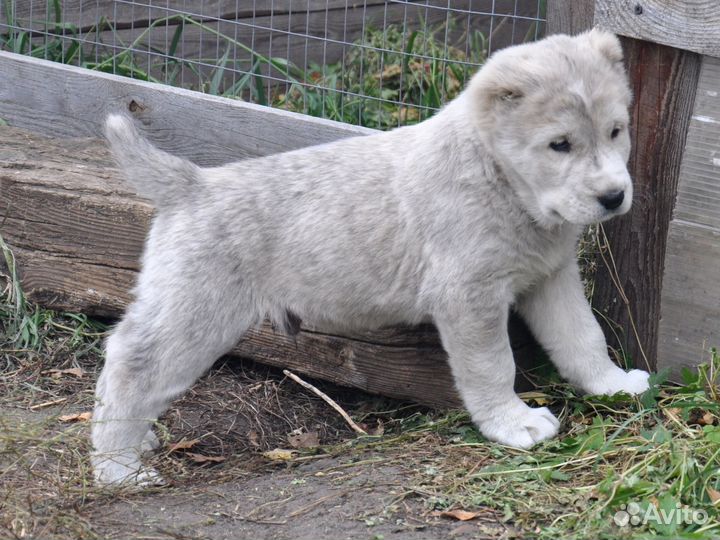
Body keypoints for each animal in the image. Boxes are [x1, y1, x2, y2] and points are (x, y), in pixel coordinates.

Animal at [91, 28, 652, 486]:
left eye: (616, 131)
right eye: (559, 145)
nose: (613, 196)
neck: (497, 178)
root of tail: (192, 184)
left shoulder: (552, 277)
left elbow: (583, 337)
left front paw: (612, 386)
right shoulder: (469, 298)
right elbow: (494, 366)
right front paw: (513, 424)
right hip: (195, 315)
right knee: (130, 367)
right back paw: (118, 466)